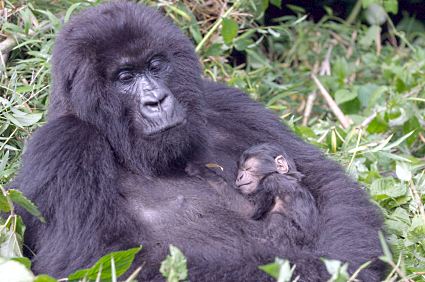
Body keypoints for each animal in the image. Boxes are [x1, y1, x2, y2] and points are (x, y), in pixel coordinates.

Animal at [186, 144, 318, 246]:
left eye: (248, 168)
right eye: (240, 170)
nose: (239, 176)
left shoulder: (271, 181)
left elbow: (249, 210)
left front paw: (201, 170)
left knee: (277, 218)